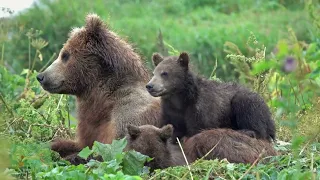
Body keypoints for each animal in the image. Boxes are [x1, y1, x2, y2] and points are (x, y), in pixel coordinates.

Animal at [146, 52, 276, 143]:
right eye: (153, 73)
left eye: (165, 73)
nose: (150, 86)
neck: (179, 98)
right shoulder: (169, 111)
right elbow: (169, 126)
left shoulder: (200, 109)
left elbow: (198, 128)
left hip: (248, 102)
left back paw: (247, 131)